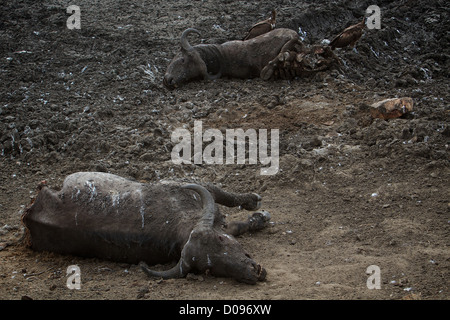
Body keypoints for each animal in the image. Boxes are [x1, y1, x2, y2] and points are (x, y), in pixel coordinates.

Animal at [22, 172, 270, 282]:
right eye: (208, 269)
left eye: (220, 241)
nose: (253, 273)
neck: (176, 218)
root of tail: (30, 214)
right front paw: (259, 214)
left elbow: (228, 201)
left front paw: (255, 205)